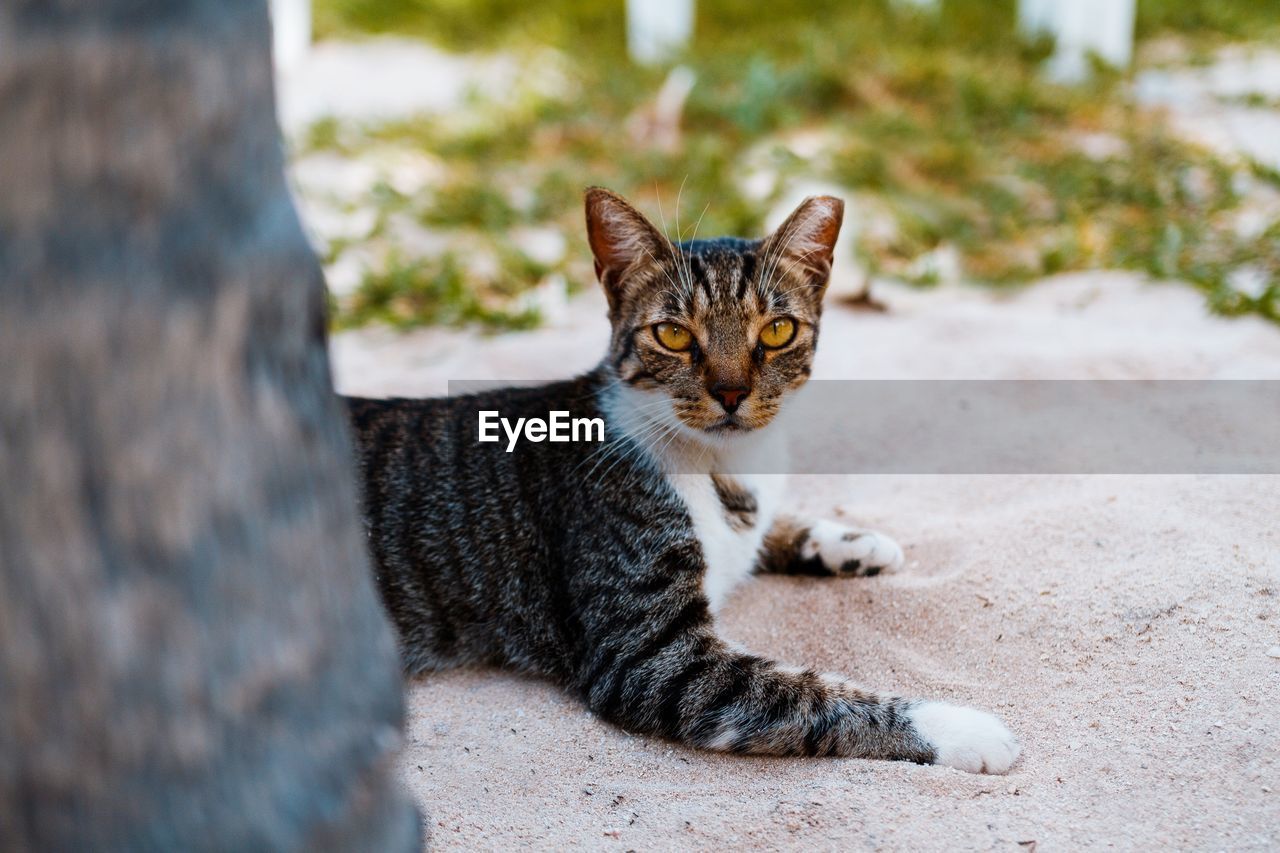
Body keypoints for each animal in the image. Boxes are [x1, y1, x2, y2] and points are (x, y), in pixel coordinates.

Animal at [343, 189, 1018, 773]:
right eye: (672, 334)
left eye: (777, 331)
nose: (731, 392)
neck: (722, 465)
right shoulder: (653, 657)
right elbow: (806, 694)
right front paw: (960, 728)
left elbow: (772, 529)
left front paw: (854, 542)